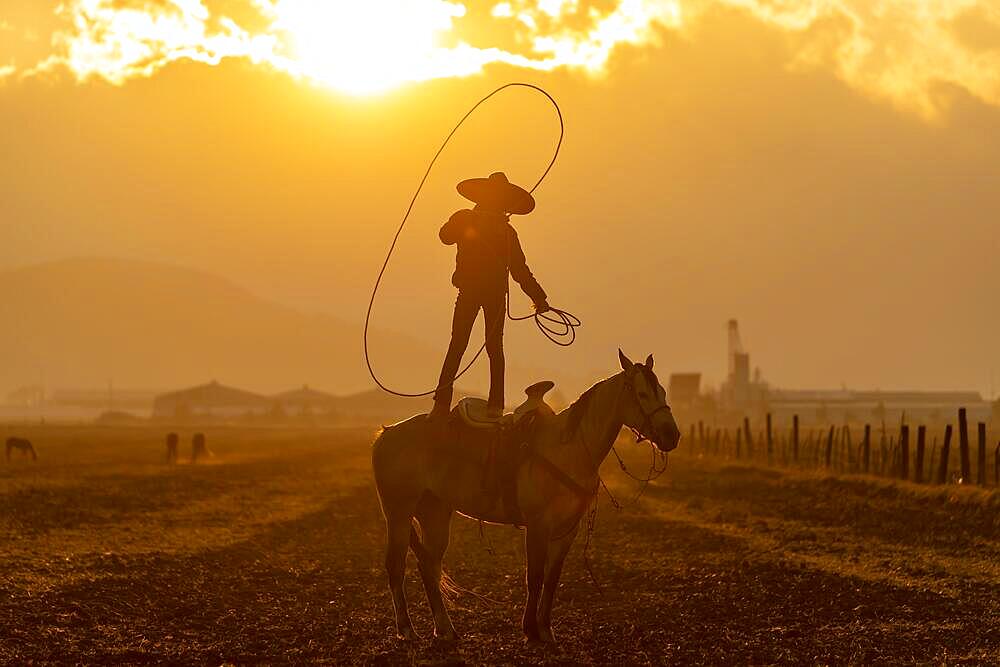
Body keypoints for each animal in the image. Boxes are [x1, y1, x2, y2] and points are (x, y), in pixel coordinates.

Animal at [372, 350, 684, 648]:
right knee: (396, 567)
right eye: (642, 394)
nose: (671, 435)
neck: (568, 447)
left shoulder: (567, 531)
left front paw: (545, 630)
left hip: (434, 513)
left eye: (663, 392)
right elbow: (534, 577)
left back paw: (445, 630)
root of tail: (385, 434)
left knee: (429, 567)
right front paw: (530, 631)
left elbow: (552, 579)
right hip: (398, 513)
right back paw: (407, 630)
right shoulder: (537, 526)